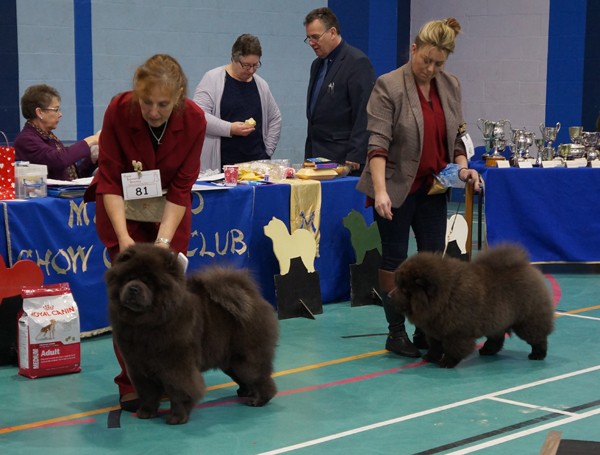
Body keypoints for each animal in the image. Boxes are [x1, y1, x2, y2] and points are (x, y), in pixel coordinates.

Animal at [105, 244, 278, 426]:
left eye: (149, 282)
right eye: (128, 278)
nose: (133, 288)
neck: (146, 323)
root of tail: (252, 296)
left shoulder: (176, 367)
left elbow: (180, 392)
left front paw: (177, 417)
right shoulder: (138, 366)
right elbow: (147, 393)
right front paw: (146, 412)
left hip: (246, 358)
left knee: (259, 377)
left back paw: (258, 400)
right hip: (229, 362)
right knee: (245, 378)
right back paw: (246, 393)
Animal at [392, 246, 556, 370]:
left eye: (404, 289)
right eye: (398, 285)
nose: (389, 295)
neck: (446, 296)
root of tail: (528, 268)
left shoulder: (457, 332)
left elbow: (453, 349)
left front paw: (447, 362)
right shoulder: (434, 330)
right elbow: (435, 347)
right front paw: (430, 357)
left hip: (527, 320)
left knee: (538, 337)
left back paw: (538, 354)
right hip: (497, 319)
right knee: (497, 338)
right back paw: (487, 350)